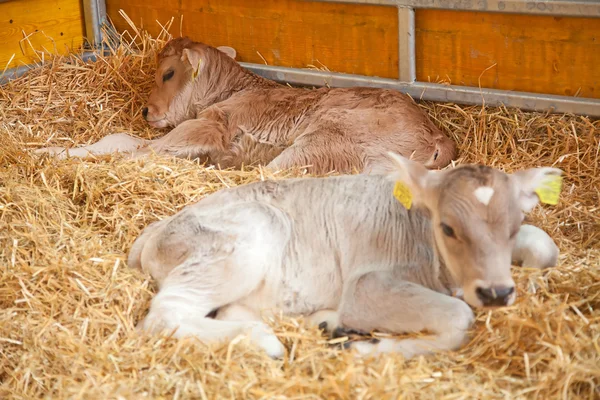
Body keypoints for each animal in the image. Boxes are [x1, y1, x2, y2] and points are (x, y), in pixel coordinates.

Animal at [37, 37, 454, 173]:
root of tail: (437, 136)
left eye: (168, 73)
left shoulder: (209, 125)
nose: (146, 111)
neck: (228, 92)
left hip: (323, 142)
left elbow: (139, 149)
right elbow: (123, 141)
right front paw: (52, 151)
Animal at [129, 154, 560, 360]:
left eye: (512, 224)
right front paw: (375, 350)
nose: (496, 292)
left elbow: (544, 244)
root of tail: (158, 227)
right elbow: (458, 315)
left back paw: (327, 324)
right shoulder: (367, 285)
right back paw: (266, 342)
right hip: (242, 244)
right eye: (448, 227)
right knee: (165, 314)